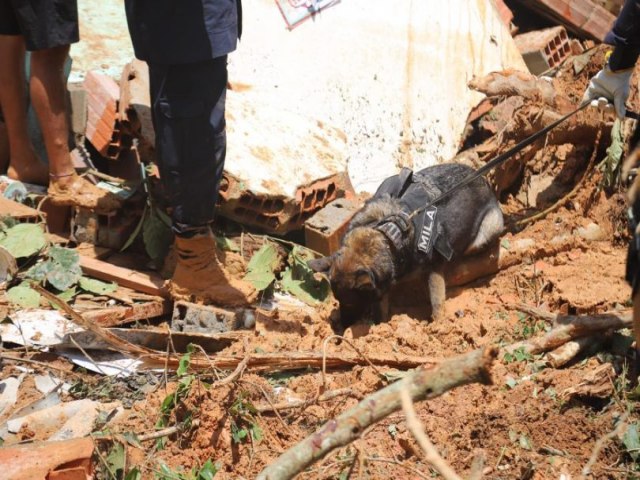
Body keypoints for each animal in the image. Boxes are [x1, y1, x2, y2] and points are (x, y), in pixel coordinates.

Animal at [310, 163, 504, 324]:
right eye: (338, 301)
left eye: (350, 304)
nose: (342, 326)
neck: (388, 230)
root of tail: (484, 181)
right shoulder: (382, 288)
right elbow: (381, 308)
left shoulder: (433, 269)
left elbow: (437, 299)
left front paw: (438, 325)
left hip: (490, 227)